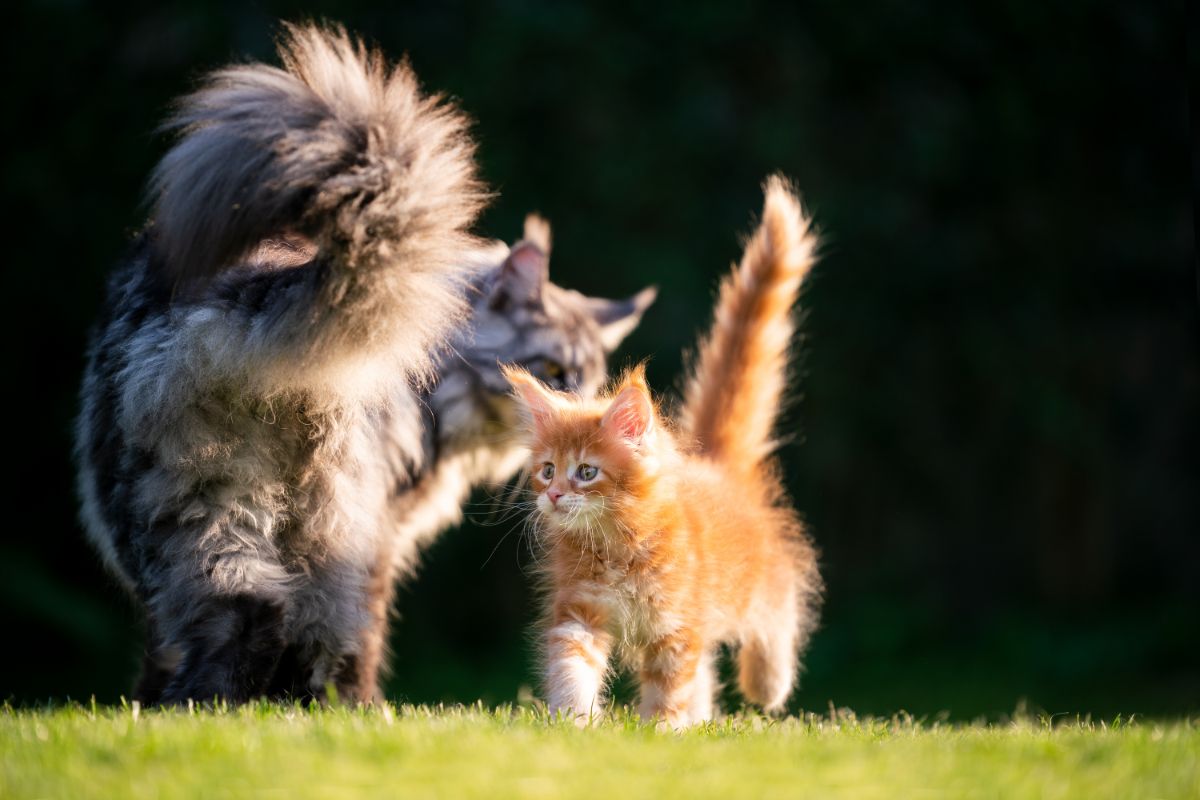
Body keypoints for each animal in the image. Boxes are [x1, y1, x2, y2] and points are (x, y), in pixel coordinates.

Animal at [501, 178, 820, 729]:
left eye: (586, 471)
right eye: (546, 470)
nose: (555, 495)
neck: (617, 545)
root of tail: (717, 466)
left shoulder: (676, 627)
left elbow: (670, 686)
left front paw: (662, 732)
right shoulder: (579, 614)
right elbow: (572, 670)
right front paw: (575, 722)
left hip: (758, 585)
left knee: (780, 608)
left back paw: (768, 683)